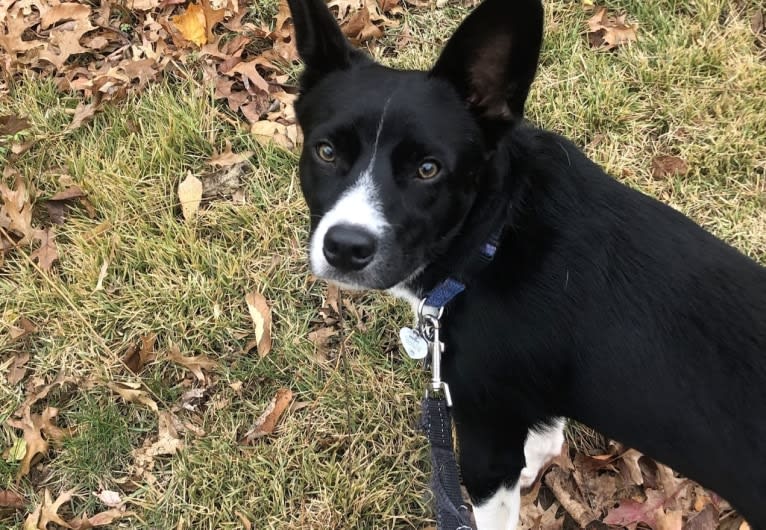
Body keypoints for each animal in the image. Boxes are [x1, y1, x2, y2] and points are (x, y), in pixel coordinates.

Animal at [284, 0, 766, 520]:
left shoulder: (484, 443)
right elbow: (546, 434)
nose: (346, 247)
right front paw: (537, 465)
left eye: (428, 169)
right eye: (326, 151)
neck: (494, 238)